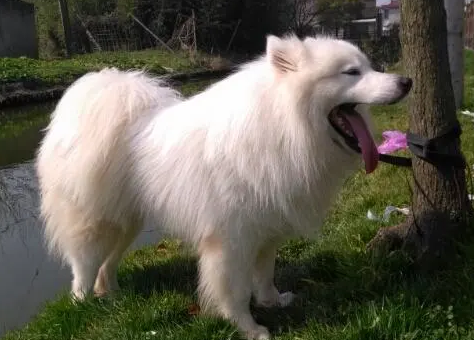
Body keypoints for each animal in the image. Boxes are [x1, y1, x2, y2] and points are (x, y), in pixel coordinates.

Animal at [37, 34, 412, 338]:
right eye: (351, 72)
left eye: (369, 66)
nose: (406, 81)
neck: (282, 126)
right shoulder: (230, 240)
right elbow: (234, 292)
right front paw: (250, 329)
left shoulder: (266, 230)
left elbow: (265, 275)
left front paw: (273, 302)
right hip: (95, 221)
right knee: (83, 265)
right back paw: (83, 303)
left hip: (126, 221)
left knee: (107, 262)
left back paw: (111, 293)